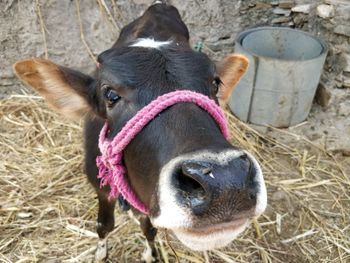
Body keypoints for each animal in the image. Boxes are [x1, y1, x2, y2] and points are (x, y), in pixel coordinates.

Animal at [13, 1, 266, 262]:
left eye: (215, 83)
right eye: (110, 93)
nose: (226, 181)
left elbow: (149, 229)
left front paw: (150, 254)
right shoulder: (100, 186)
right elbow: (104, 225)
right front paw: (100, 253)